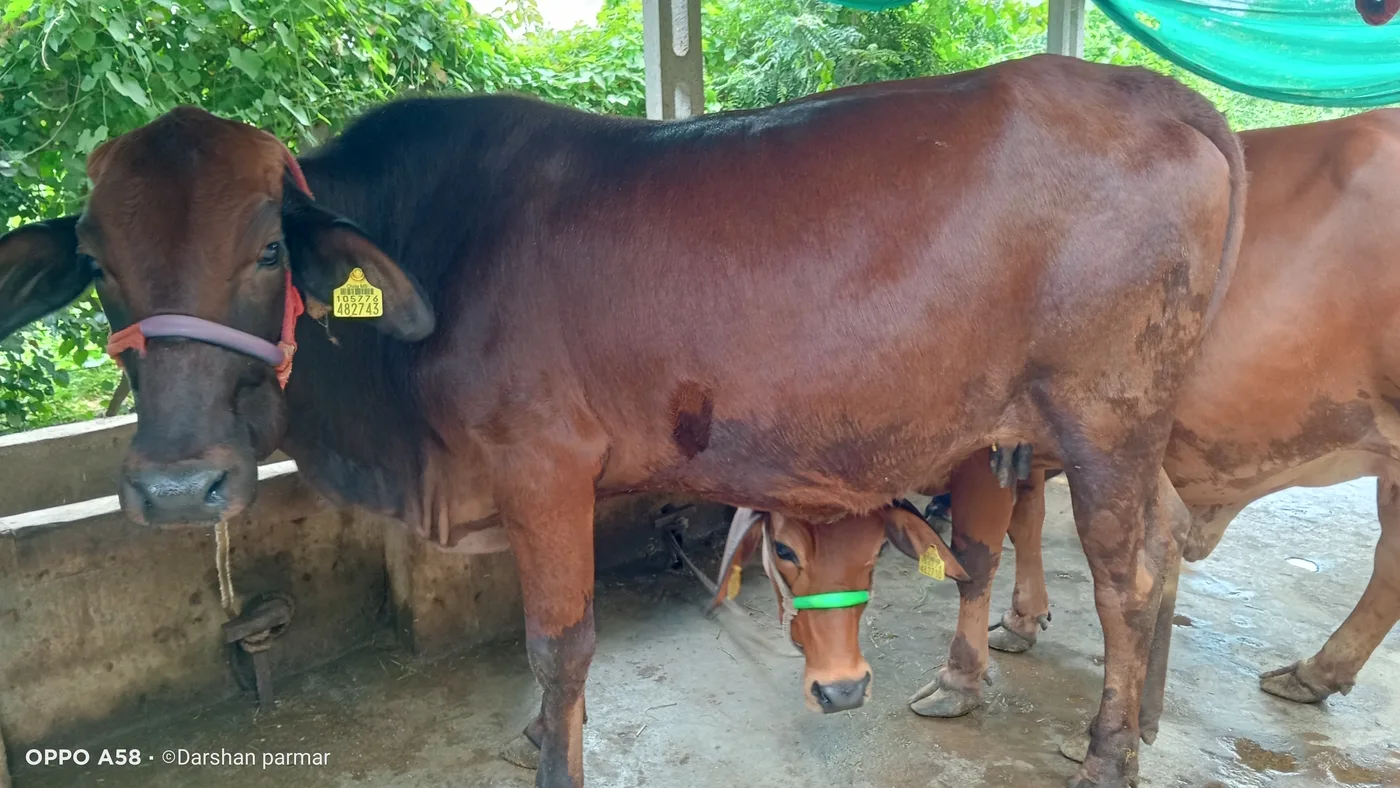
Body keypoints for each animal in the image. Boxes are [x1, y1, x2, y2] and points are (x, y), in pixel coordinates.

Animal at [0, 54, 1243, 788]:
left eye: (268, 247)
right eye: (98, 263)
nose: (178, 485)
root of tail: (1151, 91)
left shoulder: (544, 464)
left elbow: (558, 641)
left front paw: (553, 753)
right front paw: (534, 734)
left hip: (1104, 413)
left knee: (1126, 572)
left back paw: (1107, 752)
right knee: (1150, 542)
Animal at [725, 110, 1400, 760]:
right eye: (785, 550)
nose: (836, 685)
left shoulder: (987, 447)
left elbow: (977, 554)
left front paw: (960, 678)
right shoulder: (1028, 449)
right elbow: (1026, 524)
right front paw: (1025, 619)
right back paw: (1308, 675)